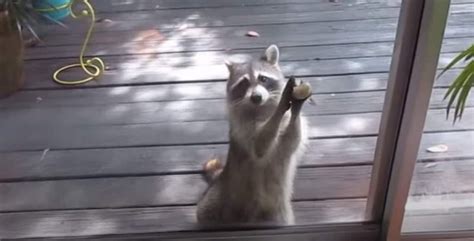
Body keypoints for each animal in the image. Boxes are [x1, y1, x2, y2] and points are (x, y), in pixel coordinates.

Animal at [196, 44, 312, 226]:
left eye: (263, 78)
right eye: (244, 83)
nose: (256, 97)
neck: (262, 109)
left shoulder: (286, 139)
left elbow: (291, 140)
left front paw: (296, 107)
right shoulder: (243, 129)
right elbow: (260, 145)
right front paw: (281, 105)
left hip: (280, 214)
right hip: (218, 199)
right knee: (205, 212)